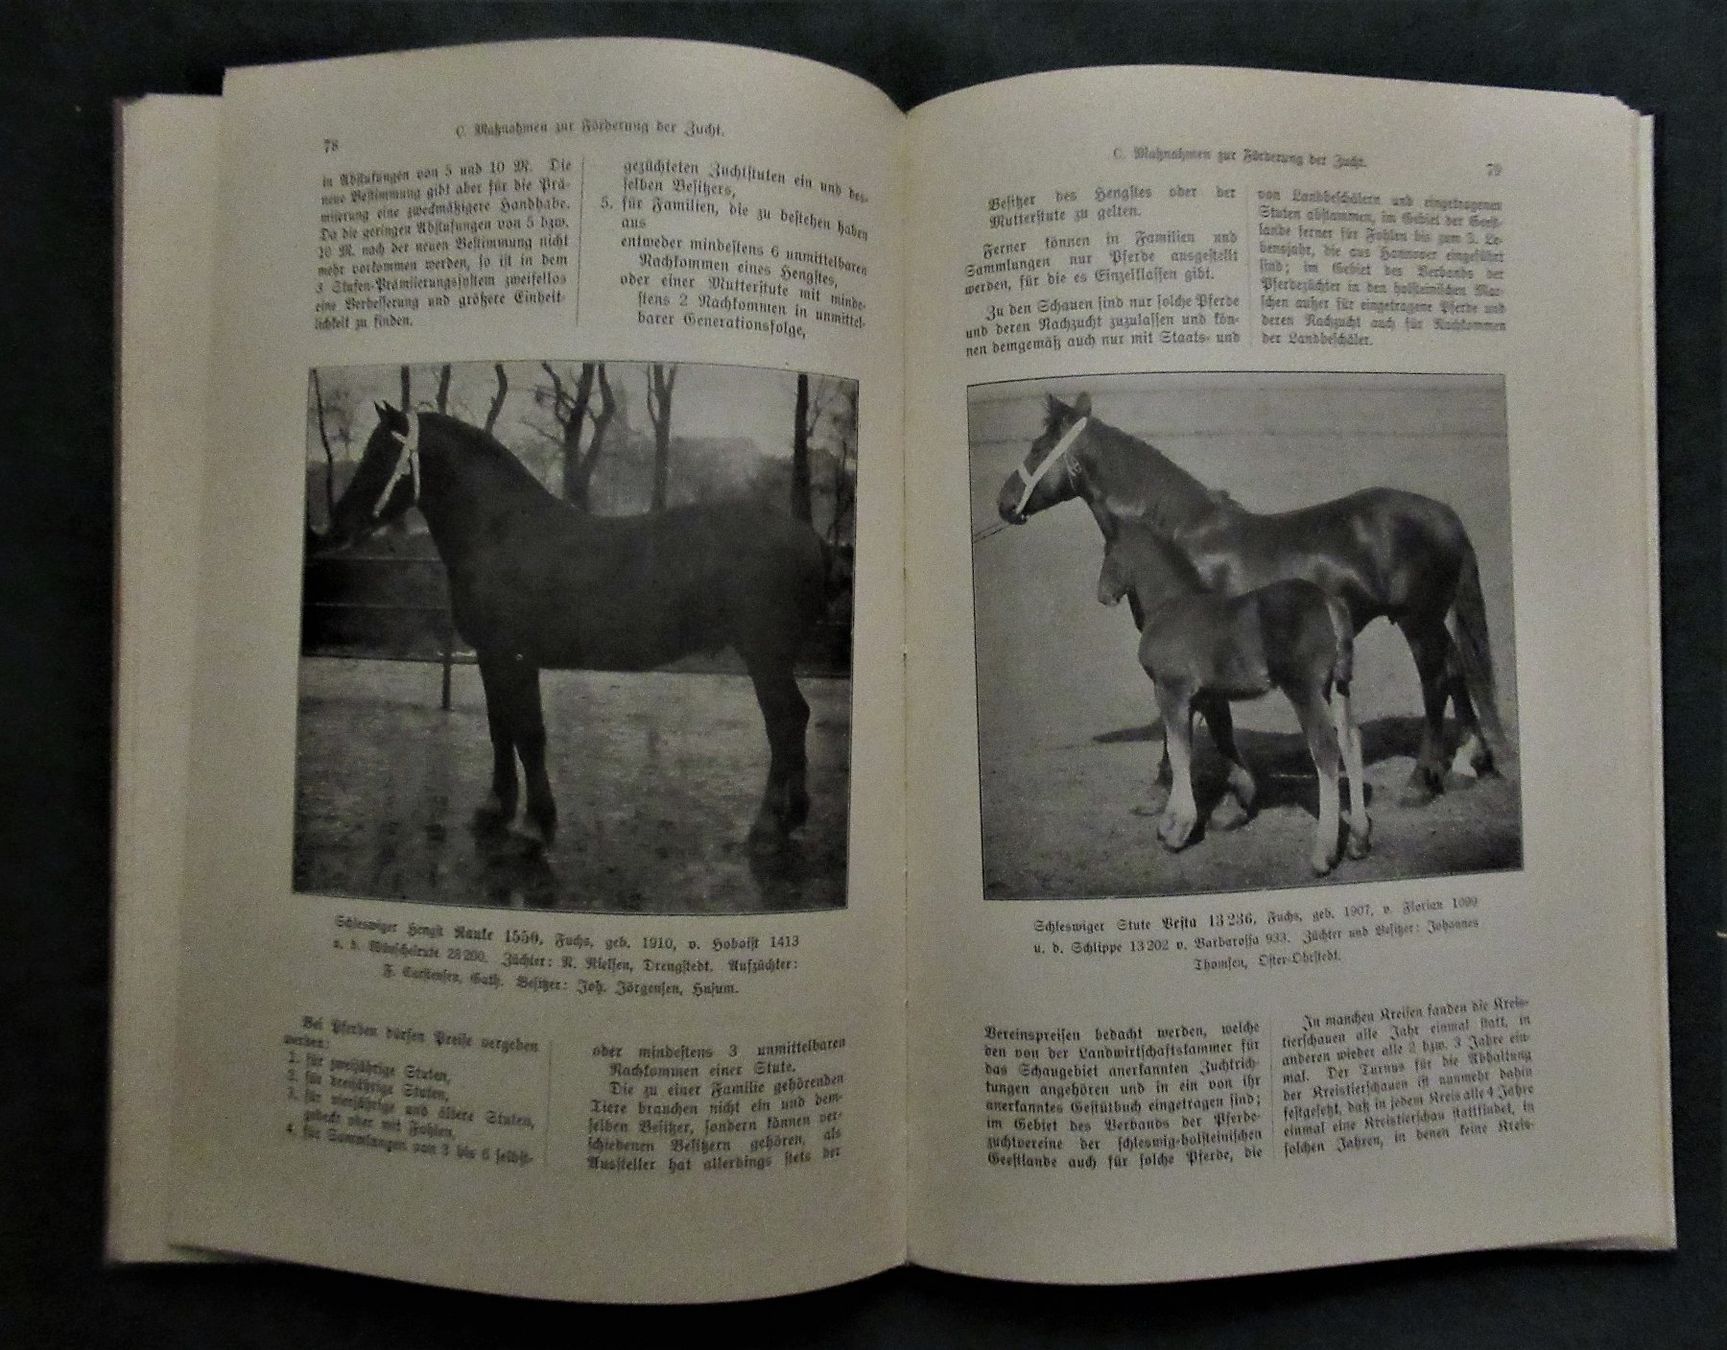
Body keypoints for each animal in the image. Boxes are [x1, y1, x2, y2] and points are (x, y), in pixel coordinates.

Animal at [326, 404, 831, 851]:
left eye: (382, 455)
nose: (336, 528)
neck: (502, 532)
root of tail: (812, 540)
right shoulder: (491, 657)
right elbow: (500, 727)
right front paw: (496, 807)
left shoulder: (516, 657)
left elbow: (529, 734)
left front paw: (537, 822)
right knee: (796, 719)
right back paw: (794, 816)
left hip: (764, 654)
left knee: (783, 722)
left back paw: (768, 825)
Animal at [997, 392, 1505, 806]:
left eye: (1037, 448)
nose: (1003, 503)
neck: (1180, 537)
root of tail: (1444, 515)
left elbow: (1189, 717)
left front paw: (1167, 786)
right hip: (1432, 622)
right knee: (1457, 670)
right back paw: (1466, 765)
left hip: (1418, 622)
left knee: (1436, 683)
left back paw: (1421, 781)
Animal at [1097, 525, 1370, 875]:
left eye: (1108, 553)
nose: (1103, 594)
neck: (1171, 605)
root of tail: (1328, 602)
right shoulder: (1202, 697)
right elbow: (1206, 742)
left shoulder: (1171, 690)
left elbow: (1179, 751)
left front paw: (1176, 832)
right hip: (1337, 687)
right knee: (1351, 742)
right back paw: (1359, 839)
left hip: (1304, 690)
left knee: (1325, 750)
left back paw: (1323, 853)